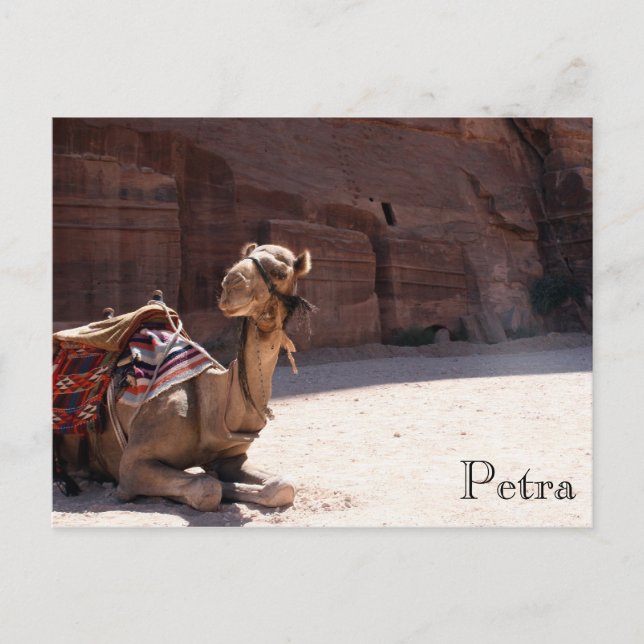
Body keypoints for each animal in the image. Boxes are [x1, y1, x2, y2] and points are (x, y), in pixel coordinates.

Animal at [56, 242, 314, 512]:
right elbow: (207, 488)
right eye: (242, 260)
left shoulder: (232, 458)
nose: (231, 284)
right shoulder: (132, 464)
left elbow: (282, 486)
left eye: (280, 272)